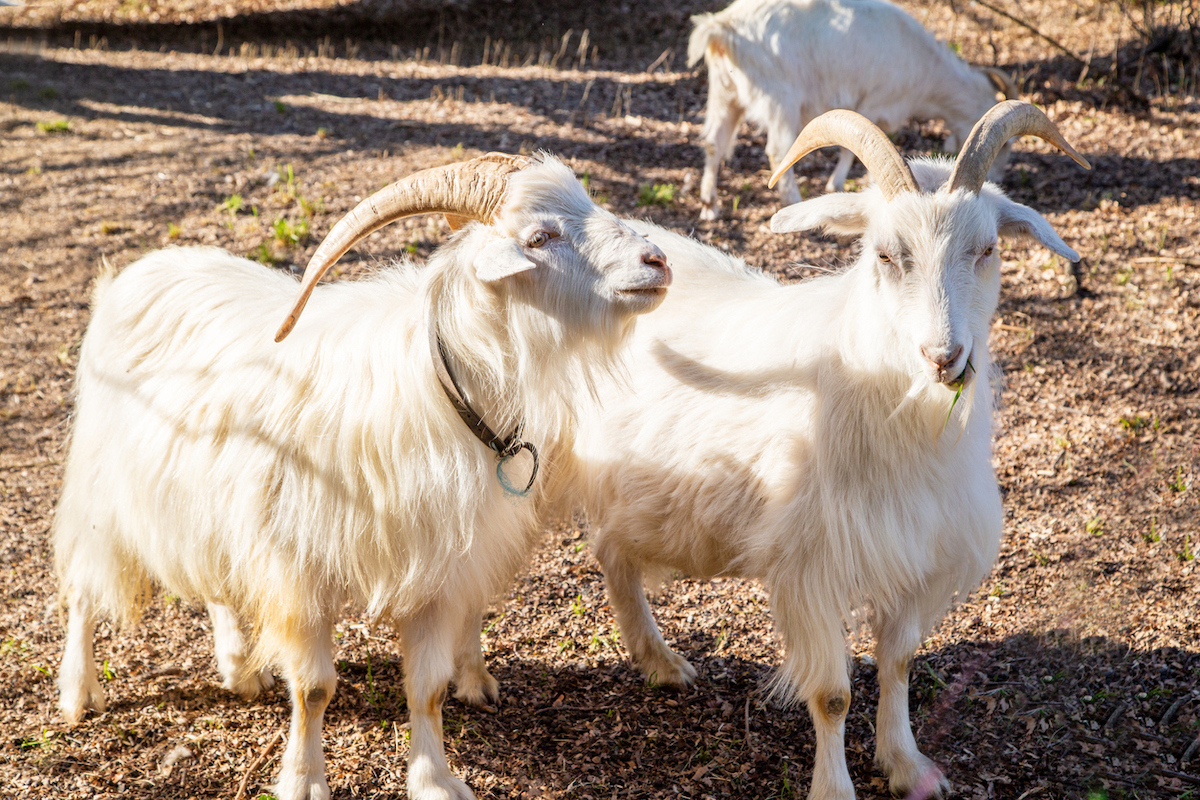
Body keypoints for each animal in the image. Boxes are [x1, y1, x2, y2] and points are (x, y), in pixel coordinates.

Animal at [53, 152, 670, 800]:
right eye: (539, 237)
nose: (657, 261)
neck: (441, 383)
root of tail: (133, 272)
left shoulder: (437, 573)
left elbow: (426, 687)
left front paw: (434, 780)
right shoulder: (298, 570)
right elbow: (313, 688)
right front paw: (303, 782)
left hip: (203, 498)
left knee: (214, 577)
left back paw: (239, 669)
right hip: (101, 484)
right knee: (82, 586)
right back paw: (80, 691)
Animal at [568, 103, 1088, 798]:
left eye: (987, 249)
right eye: (885, 254)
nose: (945, 357)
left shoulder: (915, 555)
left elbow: (898, 663)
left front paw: (907, 765)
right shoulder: (811, 564)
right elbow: (833, 695)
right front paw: (835, 787)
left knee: (611, 548)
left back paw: (658, 662)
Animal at [690, 0, 1020, 220]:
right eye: (1005, 146)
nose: (998, 180)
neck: (926, 68)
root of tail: (721, 29)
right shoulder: (872, 102)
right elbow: (857, 147)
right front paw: (838, 183)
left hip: (725, 93)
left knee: (714, 142)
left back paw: (709, 205)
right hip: (781, 99)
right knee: (777, 150)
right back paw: (792, 199)